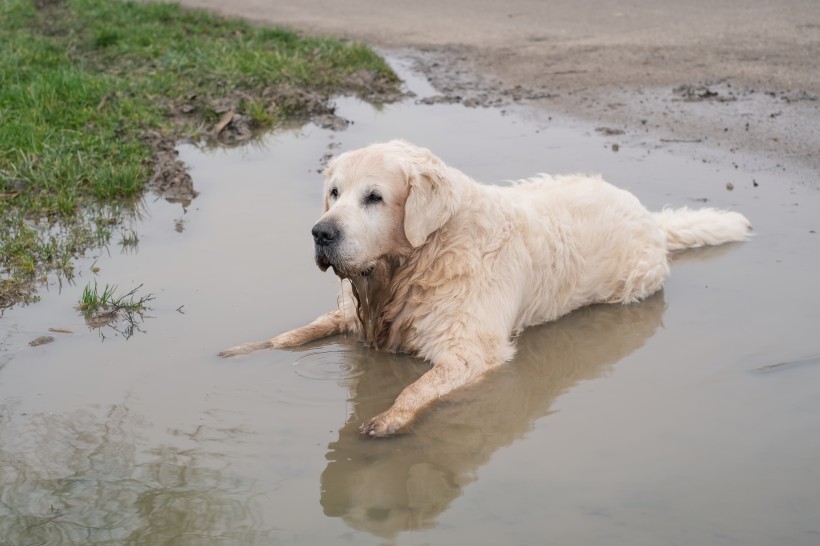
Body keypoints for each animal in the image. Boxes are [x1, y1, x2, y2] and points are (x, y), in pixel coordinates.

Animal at [221, 138, 752, 436]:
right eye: (334, 193)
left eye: (374, 197)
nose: (321, 233)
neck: (416, 262)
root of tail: (650, 217)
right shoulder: (352, 314)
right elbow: (293, 334)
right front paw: (244, 351)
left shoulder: (470, 349)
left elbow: (417, 387)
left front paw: (389, 418)